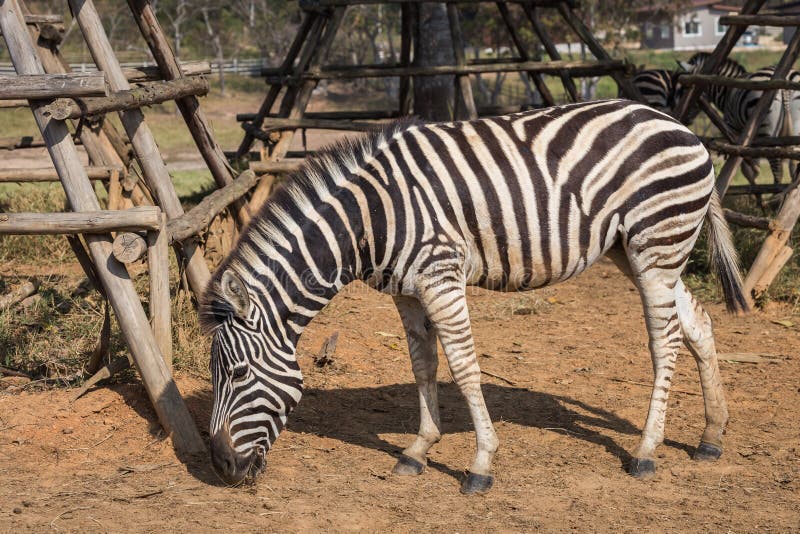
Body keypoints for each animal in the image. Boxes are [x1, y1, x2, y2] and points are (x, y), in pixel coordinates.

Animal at [200, 99, 748, 494]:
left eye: (238, 373)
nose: (221, 466)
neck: (368, 219)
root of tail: (681, 127)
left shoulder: (441, 276)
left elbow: (463, 367)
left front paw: (482, 463)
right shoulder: (406, 291)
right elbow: (423, 365)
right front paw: (418, 450)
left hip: (656, 244)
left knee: (665, 341)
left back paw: (646, 452)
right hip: (632, 251)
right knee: (697, 322)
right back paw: (711, 436)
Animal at [680, 52, 800, 183]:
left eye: (685, 90)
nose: (686, 121)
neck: (727, 91)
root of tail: (786, 80)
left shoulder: (735, 130)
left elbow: (742, 165)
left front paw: (753, 186)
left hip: (767, 132)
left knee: (777, 168)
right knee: (793, 164)